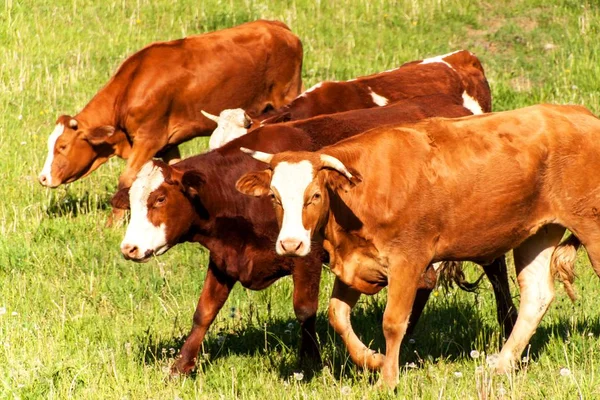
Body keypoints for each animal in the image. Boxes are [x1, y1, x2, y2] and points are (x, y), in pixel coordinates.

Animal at [38, 19, 304, 197]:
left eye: (63, 146)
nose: (43, 178)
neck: (132, 85)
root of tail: (279, 27)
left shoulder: (148, 139)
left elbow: (126, 179)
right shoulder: (167, 144)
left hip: (287, 95)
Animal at [111, 93, 516, 376]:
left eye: (160, 198)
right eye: (132, 200)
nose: (129, 248)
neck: (241, 198)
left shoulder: (305, 255)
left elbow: (304, 309)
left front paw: (309, 363)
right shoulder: (226, 258)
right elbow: (204, 312)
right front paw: (180, 367)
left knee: (496, 270)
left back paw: (509, 322)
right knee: (426, 281)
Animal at [236, 103, 596, 388]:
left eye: (314, 196)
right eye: (275, 197)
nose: (291, 244)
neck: (365, 190)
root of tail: (583, 115)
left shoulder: (407, 261)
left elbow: (394, 322)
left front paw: (387, 380)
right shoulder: (357, 261)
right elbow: (337, 314)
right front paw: (373, 360)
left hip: (592, 229)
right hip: (538, 233)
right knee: (536, 295)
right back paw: (502, 364)